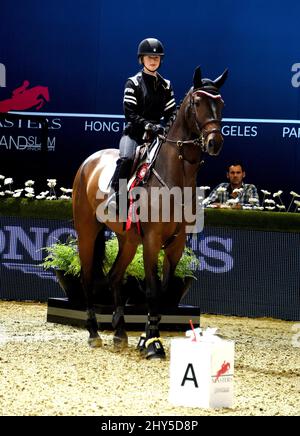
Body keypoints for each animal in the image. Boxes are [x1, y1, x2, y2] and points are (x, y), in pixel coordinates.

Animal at [72, 65, 227, 358]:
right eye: (197, 103)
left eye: (221, 103)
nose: (215, 143)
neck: (176, 177)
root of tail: (89, 162)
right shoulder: (153, 240)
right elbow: (152, 290)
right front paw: (153, 344)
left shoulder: (176, 244)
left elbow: (163, 291)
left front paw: (146, 337)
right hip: (87, 231)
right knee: (87, 277)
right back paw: (94, 333)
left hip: (128, 239)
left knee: (114, 276)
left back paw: (120, 333)